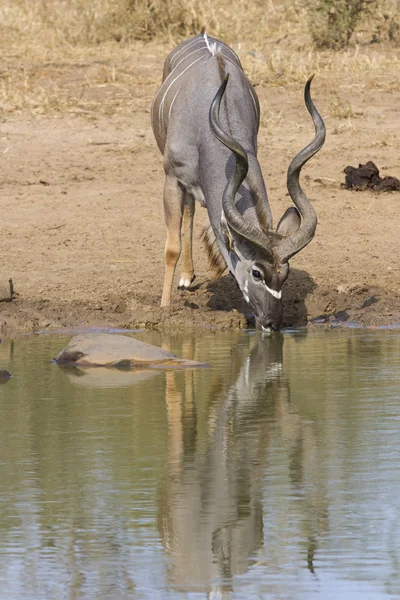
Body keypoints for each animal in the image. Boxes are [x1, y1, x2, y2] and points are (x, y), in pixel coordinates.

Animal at [150, 31, 324, 332]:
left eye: (285, 274)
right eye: (256, 272)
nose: (272, 322)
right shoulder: (172, 179)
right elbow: (171, 247)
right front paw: (164, 308)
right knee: (188, 212)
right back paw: (184, 279)